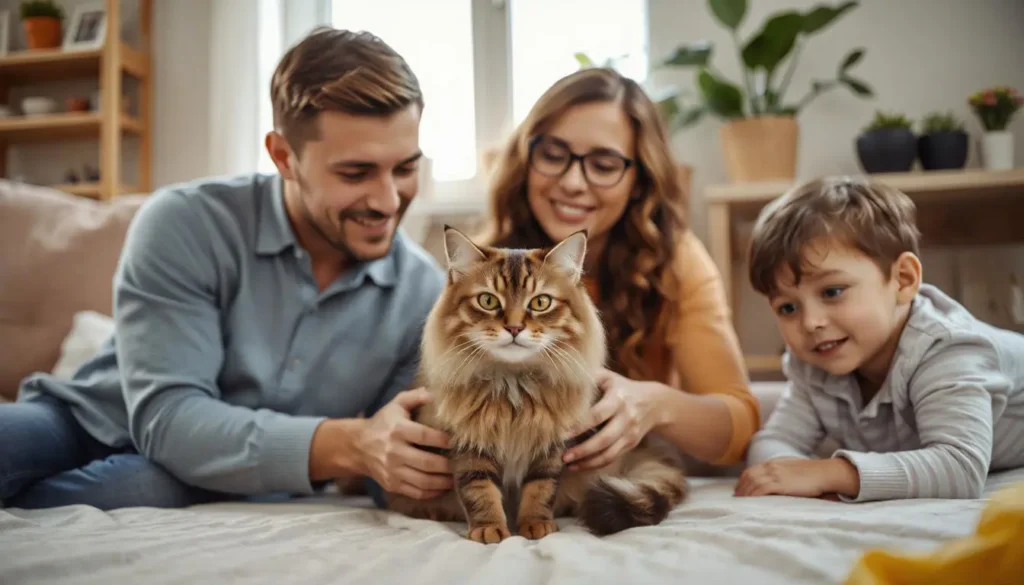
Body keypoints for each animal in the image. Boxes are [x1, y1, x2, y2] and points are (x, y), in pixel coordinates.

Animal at [387, 225, 692, 545]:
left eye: (540, 303)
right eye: (488, 301)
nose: (514, 328)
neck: (513, 386)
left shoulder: (550, 446)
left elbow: (540, 489)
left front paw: (536, 525)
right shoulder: (468, 444)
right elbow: (480, 491)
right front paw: (489, 529)